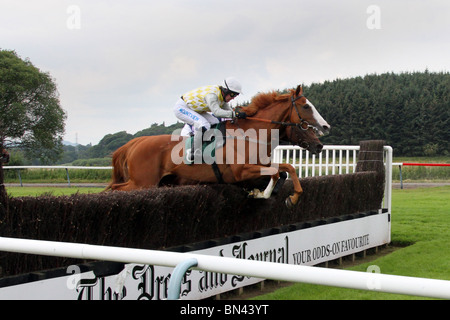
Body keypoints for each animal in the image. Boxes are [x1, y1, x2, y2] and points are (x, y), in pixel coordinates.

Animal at [107, 85, 328, 205]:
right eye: (306, 107)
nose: (319, 144)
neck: (250, 135)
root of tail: (134, 143)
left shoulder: (260, 167)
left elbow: (284, 170)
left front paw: (280, 195)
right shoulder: (242, 171)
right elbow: (281, 170)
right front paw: (274, 195)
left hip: (160, 181)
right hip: (143, 182)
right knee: (115, 189)